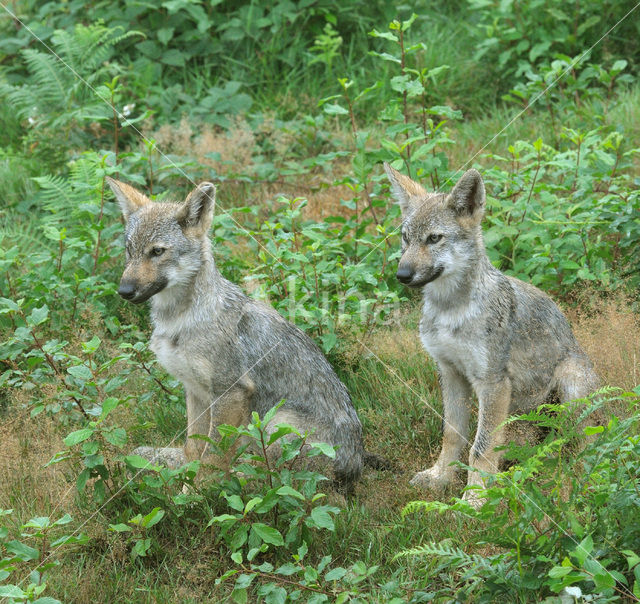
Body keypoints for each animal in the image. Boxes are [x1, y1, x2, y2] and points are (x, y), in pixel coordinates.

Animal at [107, 177, 370, 494]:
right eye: (129, 250)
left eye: (157, 251)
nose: (124, 291)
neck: (179, 322)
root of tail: (356, 468)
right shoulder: (195, 392)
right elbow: (194, 449)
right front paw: (186, 491)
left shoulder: (230, 391)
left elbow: (211, 458)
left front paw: (198, 498)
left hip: (273, 421)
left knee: (273, 479)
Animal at [384, 163, 600, 502]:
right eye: (405, 238)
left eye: (434, 238)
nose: (402, 274)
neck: (450, 312)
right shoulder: (450, 373)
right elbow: (452, 435)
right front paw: (440, 477)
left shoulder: (493, 384)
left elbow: (480, 449)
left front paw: (474, 500)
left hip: (570, 389)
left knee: (586, 441)